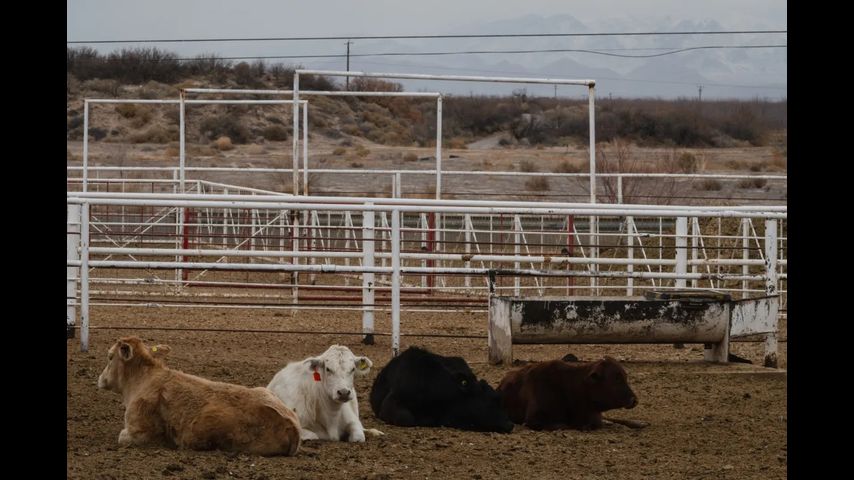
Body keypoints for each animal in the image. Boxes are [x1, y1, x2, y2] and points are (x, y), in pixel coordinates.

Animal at [97, 336, 301, 456]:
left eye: (110, 356)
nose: (100, 379)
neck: (143, 380)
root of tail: (292, 424)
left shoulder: (139, 433)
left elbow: (122, 437)